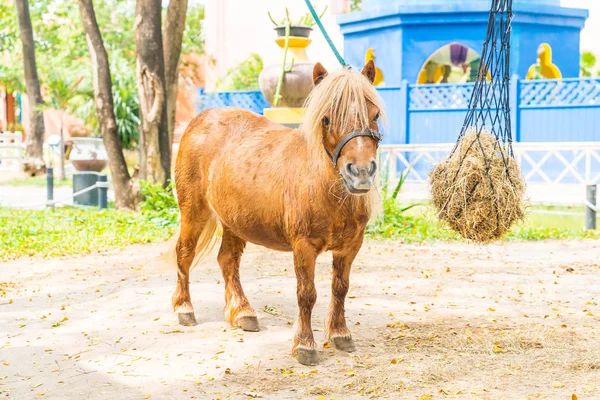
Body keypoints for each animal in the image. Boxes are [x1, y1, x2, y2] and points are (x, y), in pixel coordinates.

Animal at [170, 60, 384, 366]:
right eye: (326, 119)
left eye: (375, 115)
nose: (361, 172)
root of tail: (199, 120)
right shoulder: (304, 246)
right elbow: (307, 294)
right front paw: (305, 345)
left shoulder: (350, 246)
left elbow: (340, 287)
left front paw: (340, 333)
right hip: (194, 212)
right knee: (185, 254)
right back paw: (184, 308)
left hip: (233, 221)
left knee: (227, 260)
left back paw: (242, 312)